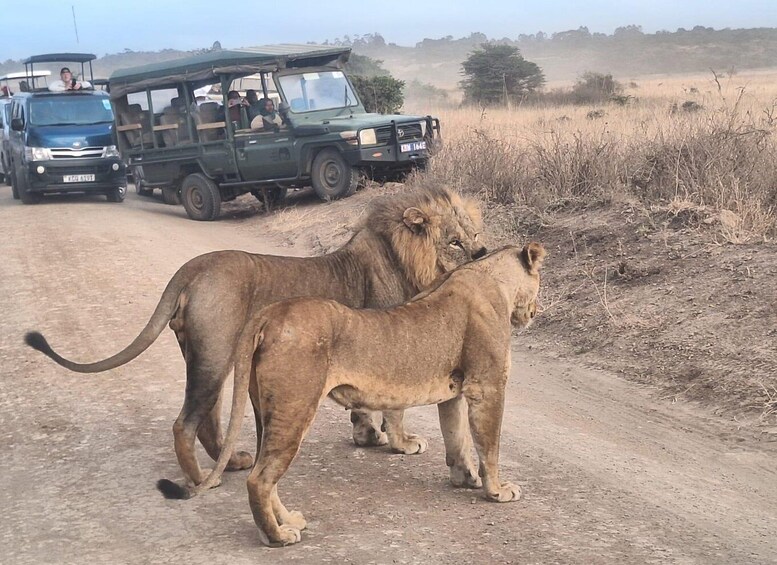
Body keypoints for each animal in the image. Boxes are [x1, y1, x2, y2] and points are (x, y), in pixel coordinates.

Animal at [25, 187, 484, 486]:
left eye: (475, 236)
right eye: (454, 242)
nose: (482, 255)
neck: (404, 259)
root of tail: (192, 268)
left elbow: (364, 409)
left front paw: (366, 437)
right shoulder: (392, 343)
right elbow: (396, 409)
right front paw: (401, 444)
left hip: (210, 354)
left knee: (208, 420)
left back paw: (230, 464)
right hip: (215, 355)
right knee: (185, 423)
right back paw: (201, 480)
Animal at [173, 242, 544, 548]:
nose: (537, 311)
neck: (491, 278)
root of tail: (269, 314)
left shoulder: (453, 391)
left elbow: (457, 439)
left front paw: (464, 478)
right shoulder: (487, 385)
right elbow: (489, 445)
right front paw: (497, 491)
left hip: (269, 411)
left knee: (266, 474)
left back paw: (287, 521)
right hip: (296, 408)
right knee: (259, 479)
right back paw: (277, 537)